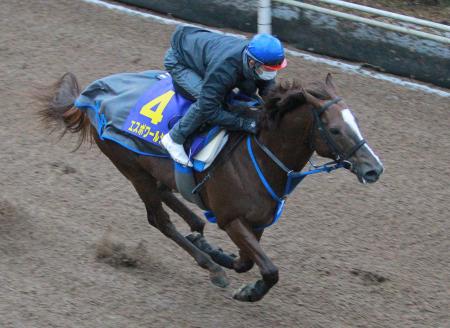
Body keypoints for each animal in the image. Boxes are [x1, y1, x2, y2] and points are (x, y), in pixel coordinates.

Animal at [37, 72, 384, 302]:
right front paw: (248, 290)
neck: (260, 154)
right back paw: (209, 265)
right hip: (132, 168)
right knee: (158, 219)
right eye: (335, 130)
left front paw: (220, 254)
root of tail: (92, 96)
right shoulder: (232, 220)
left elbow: (247, 262)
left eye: (356, 123)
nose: (374, 169)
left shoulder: (256, 223)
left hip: (152, 169)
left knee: (169, 195)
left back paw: (200, 235)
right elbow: (269, 269)